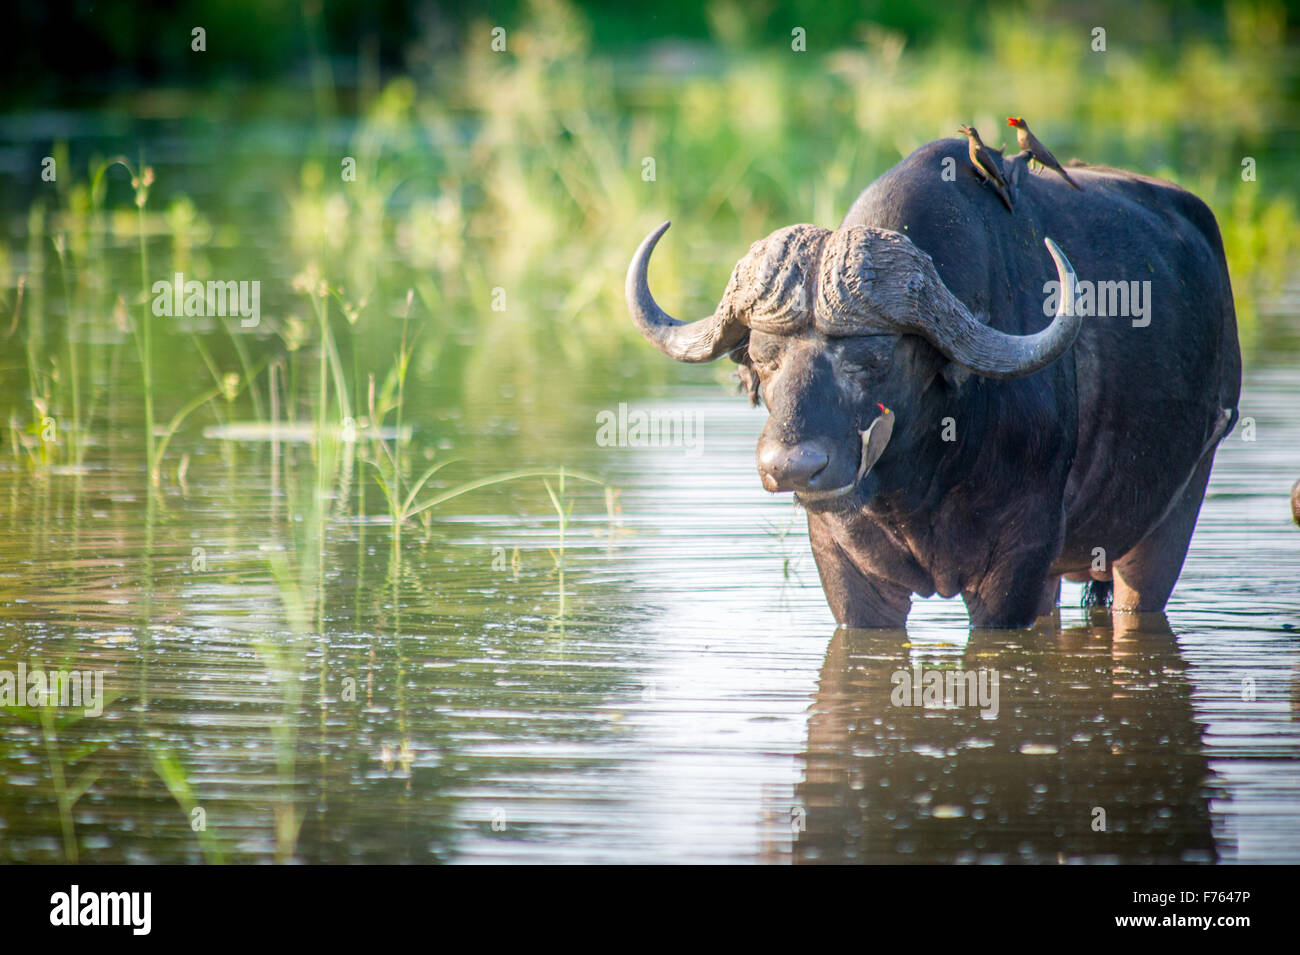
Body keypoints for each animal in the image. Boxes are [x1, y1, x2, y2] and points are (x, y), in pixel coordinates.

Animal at [624, 134, 1242, 628]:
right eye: (761, 357)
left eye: (873, 357)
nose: (791, 467)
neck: (920, 482)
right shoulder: (844, 567)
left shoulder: (1019, 563)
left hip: (1181, 497)